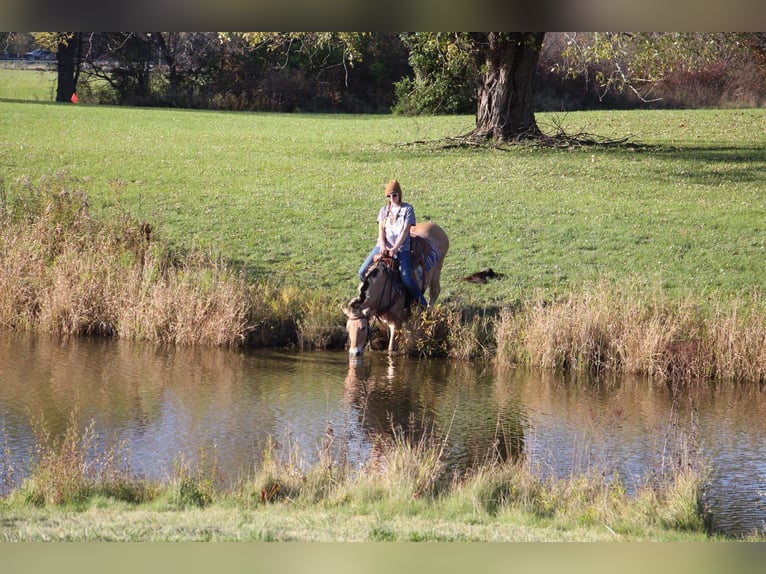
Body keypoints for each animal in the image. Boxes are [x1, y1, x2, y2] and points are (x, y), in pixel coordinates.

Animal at [344, 220, 450, 356]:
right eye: (347, 328)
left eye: (362, 328)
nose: (354, 352)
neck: (384, 288)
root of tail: (436, 226)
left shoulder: (396, 323)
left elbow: (390, 348)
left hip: (437, 271)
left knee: (434, 292)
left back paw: (427, 315)